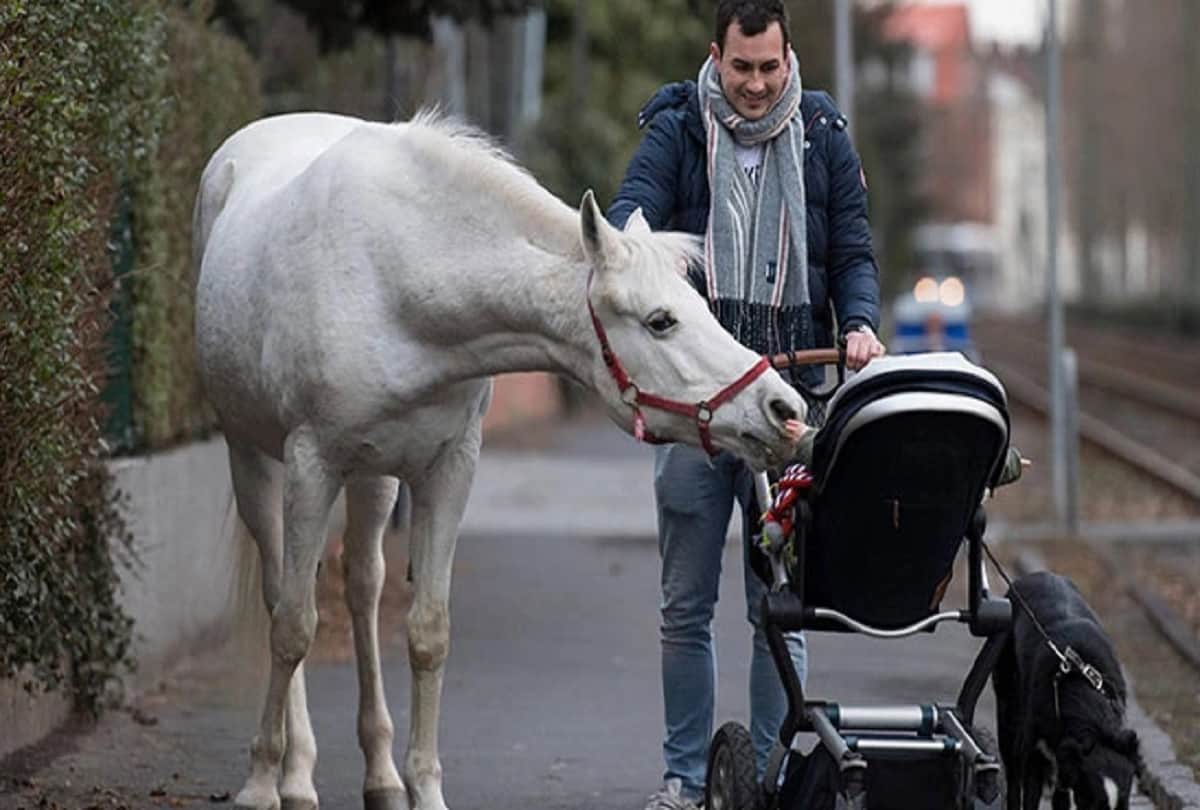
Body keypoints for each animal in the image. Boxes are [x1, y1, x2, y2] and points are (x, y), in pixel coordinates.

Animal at [192, 111, 806, 810]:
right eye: (661, 321)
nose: (783, 409)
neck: (397, 280)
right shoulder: (310, 464)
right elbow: (293, 626)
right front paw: (261, 780)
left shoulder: (448, 470)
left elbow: (428, 632)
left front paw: (424, 788)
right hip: (254, 458)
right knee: (280, 595)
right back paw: (292, 775)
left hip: (372, 479)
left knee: (362, 588)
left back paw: (380, 774)